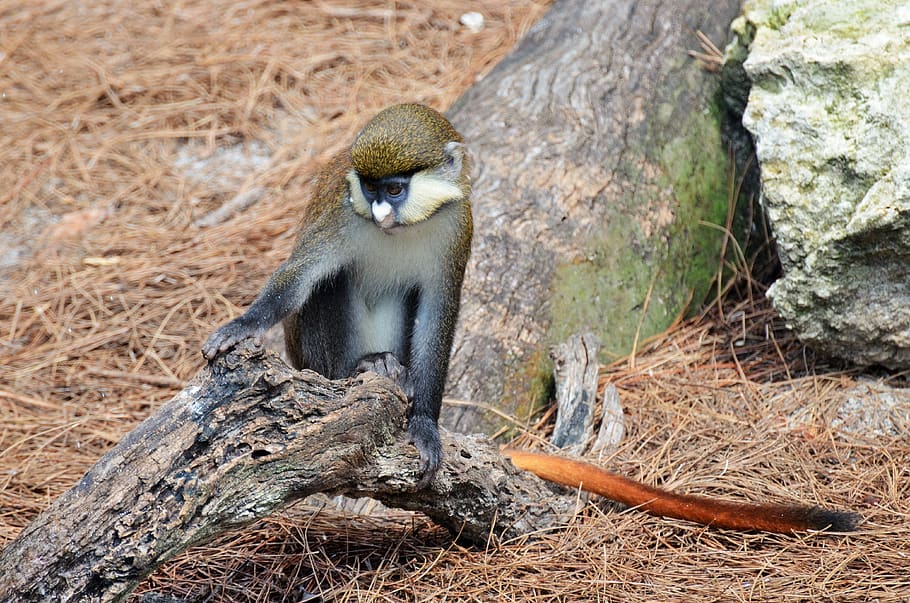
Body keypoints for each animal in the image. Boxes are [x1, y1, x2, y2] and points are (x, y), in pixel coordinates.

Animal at [202, 103, 472, 487]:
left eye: (394, 190)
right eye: (370, 187)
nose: (379, 213)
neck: (402, 230)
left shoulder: (457, 228)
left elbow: (436, 318)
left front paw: (424, 425)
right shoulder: (341, 217)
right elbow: (302, 275)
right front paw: (243, 324)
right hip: (313, 362)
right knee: (333, 280)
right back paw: (357, 368)